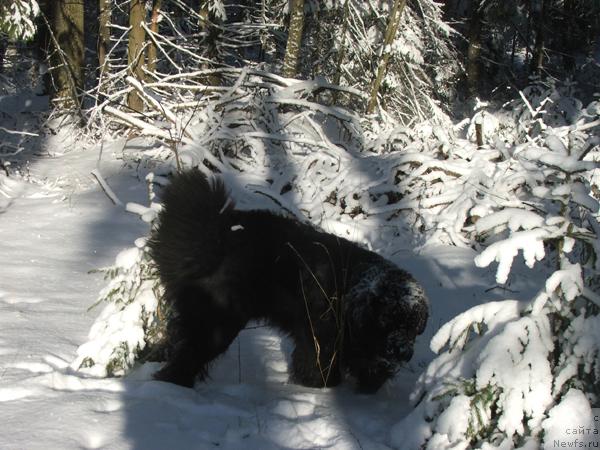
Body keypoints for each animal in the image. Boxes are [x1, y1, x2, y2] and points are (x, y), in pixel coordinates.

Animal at [150, 171, 428, 392]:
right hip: (218, 320)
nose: (404, 352)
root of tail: (217, 236)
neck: (351, 290)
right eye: (388, 320)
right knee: (190, 354)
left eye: (413, 325)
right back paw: (175, 389)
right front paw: (320, 389)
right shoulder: (320, 335)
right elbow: (320, 365)